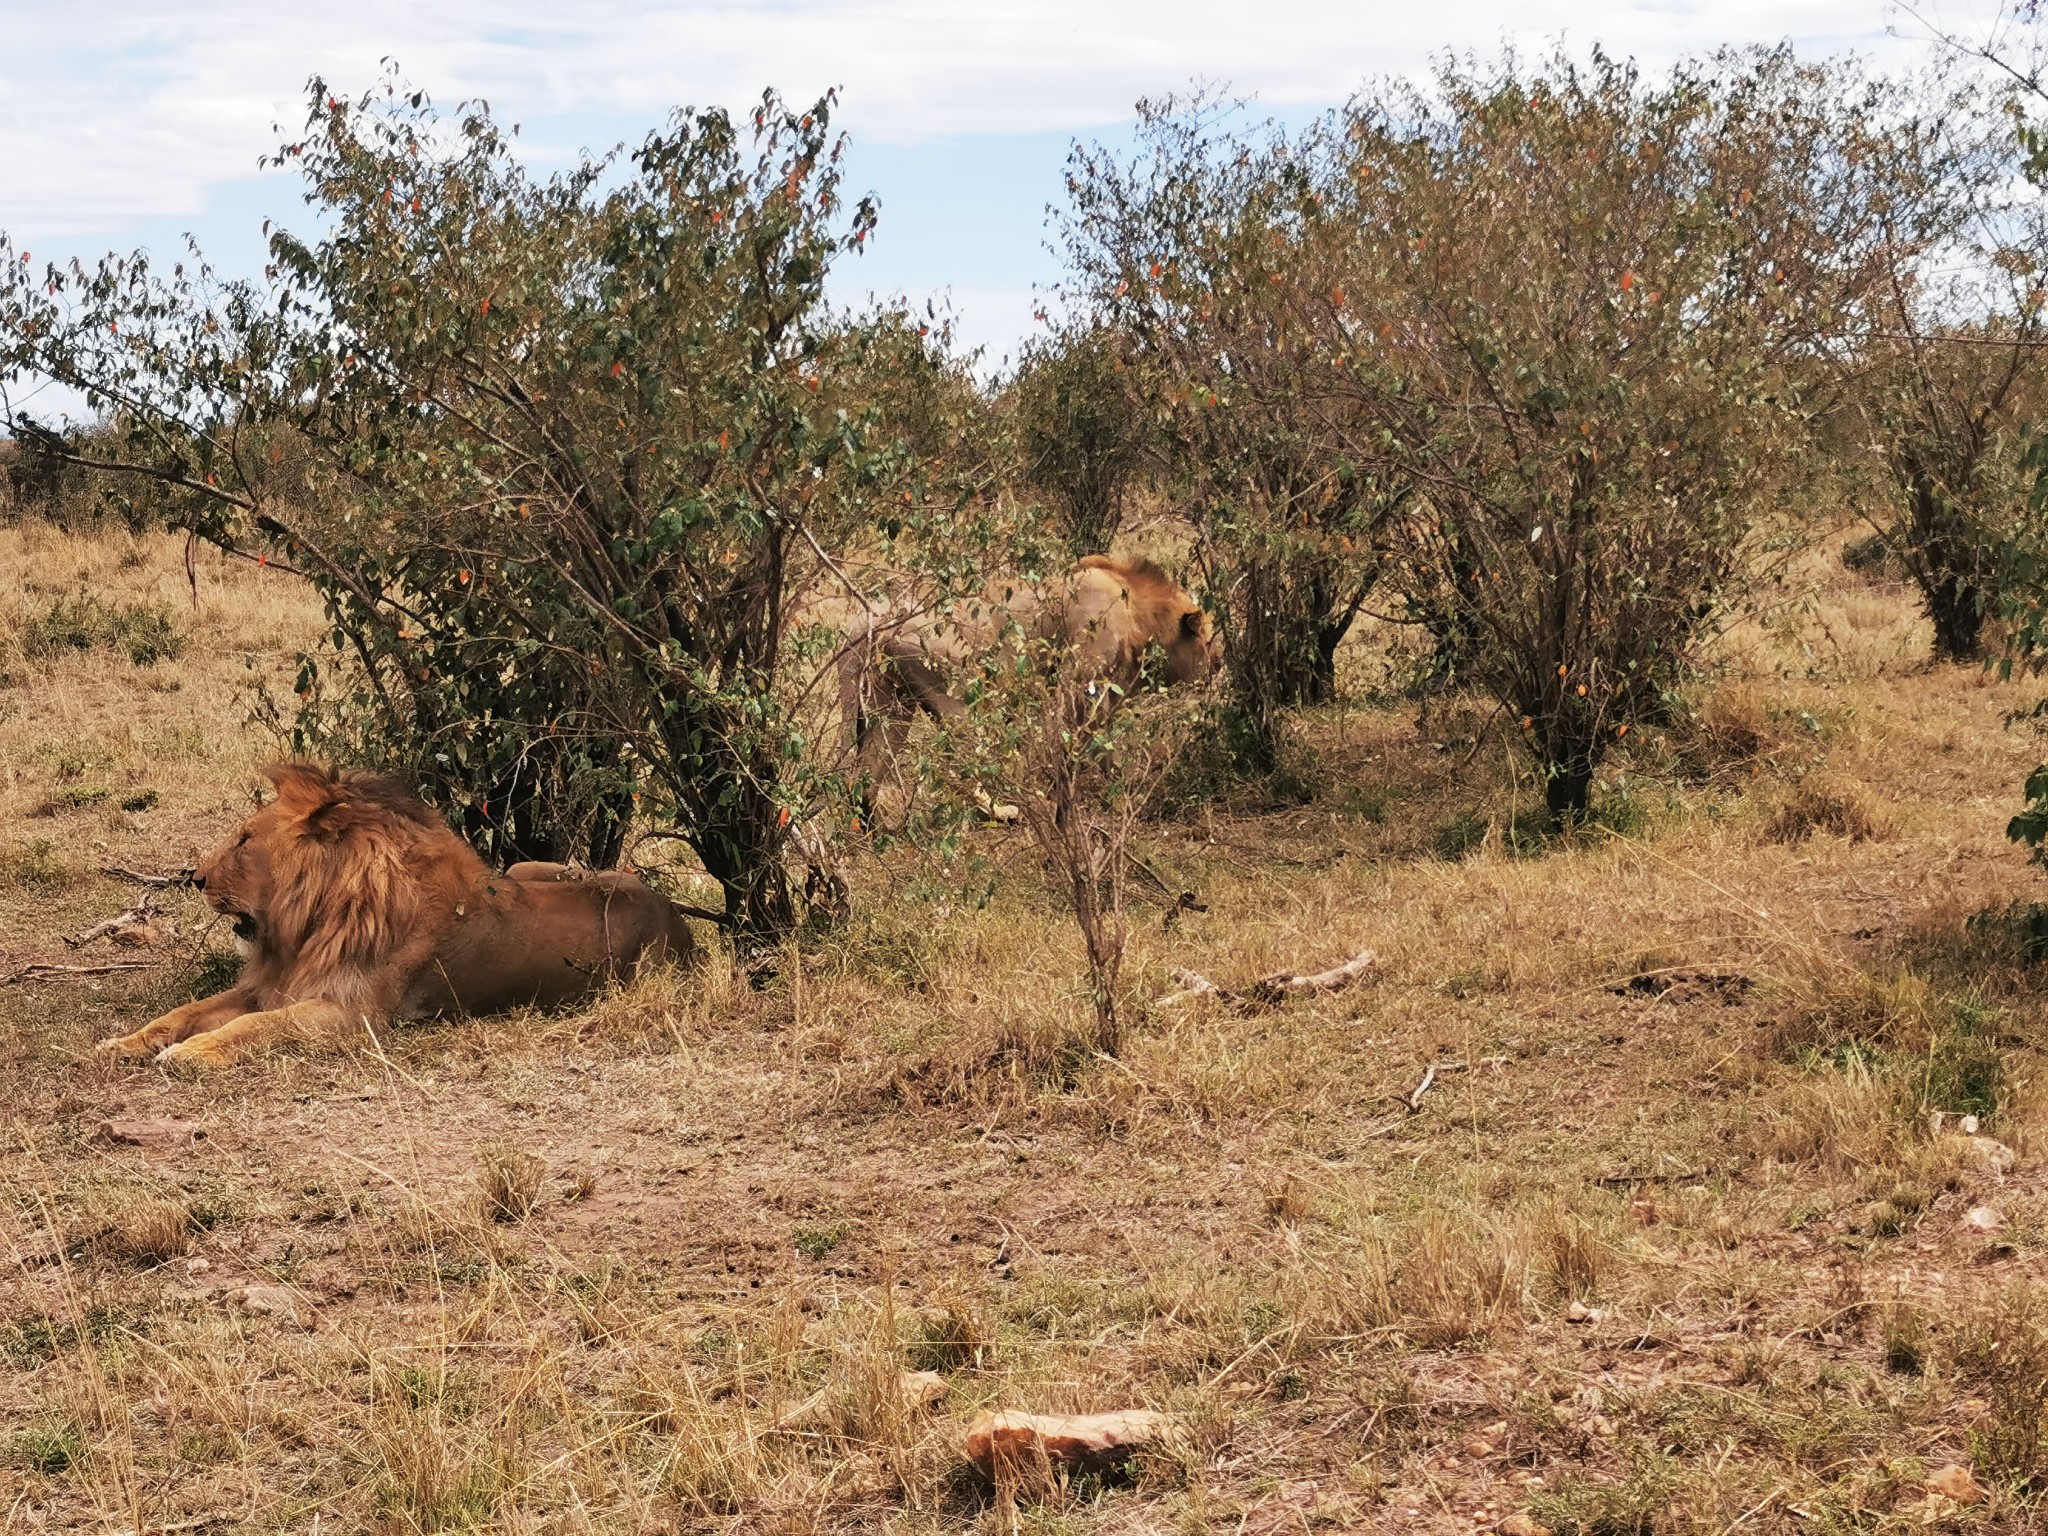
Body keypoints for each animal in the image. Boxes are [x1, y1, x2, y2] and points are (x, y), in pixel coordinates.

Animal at [99, 765, 696, 1073]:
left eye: (245, 839)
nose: (195, 879)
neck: (313, 921)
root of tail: (677, 918)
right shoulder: (272, 985)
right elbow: (184, 1011)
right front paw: (125, 1043)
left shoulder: (353, 1015)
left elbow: (258, 1026)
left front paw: (192, 1052)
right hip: (526, 868)